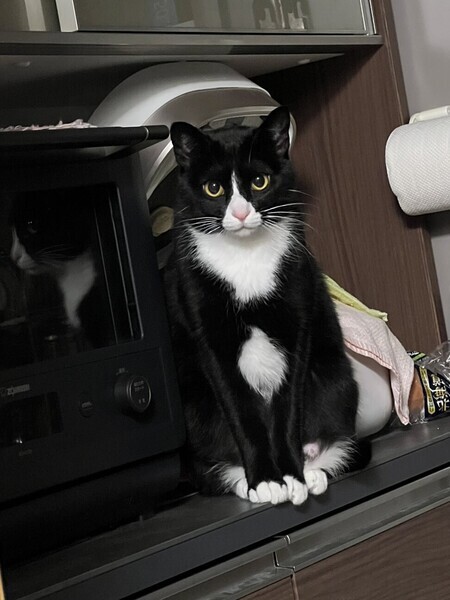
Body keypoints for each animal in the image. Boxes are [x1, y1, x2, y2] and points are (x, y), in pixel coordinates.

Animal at [165, 106, 371, 505]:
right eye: (214, 188)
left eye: (259, 182)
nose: (242, 214)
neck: (246, 259)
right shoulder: (208, 336)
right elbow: (240, 410)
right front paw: (263, 481)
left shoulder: (298, 321)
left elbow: (288, 407)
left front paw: (291, 476)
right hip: (196, 408)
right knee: (211, 467)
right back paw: (246, 483)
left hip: (336, 381)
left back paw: (314, 470)